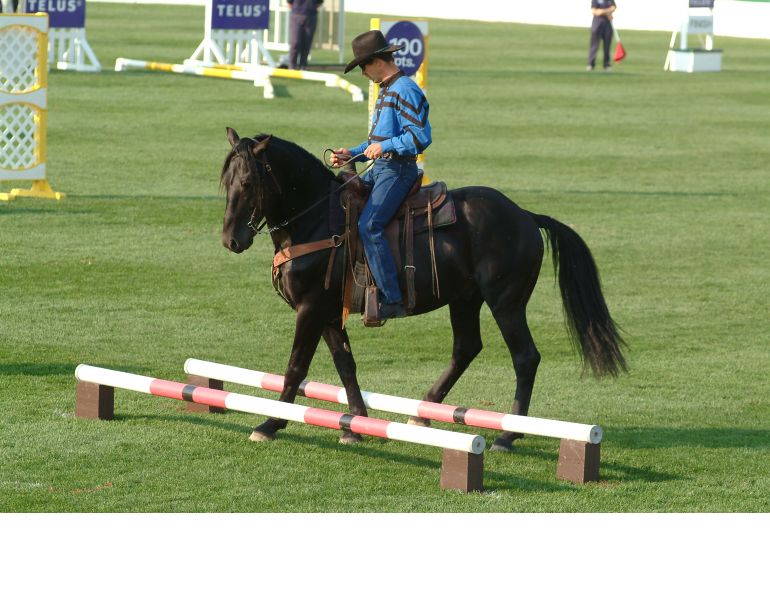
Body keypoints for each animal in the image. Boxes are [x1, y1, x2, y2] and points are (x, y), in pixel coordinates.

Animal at [220, 128, 627, 450]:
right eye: (225, 183)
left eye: (248, 183)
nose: (230, 240)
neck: (319, 220)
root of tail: (525, 215)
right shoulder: (330, 313)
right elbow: (346, 364)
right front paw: (356, 425)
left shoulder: (311, 308)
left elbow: (296, 366)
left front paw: (271, 423)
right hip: (465, 299)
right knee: (466, 348)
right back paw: (424, 410)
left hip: (506, 302)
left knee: (525, 357)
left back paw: (508, 435)